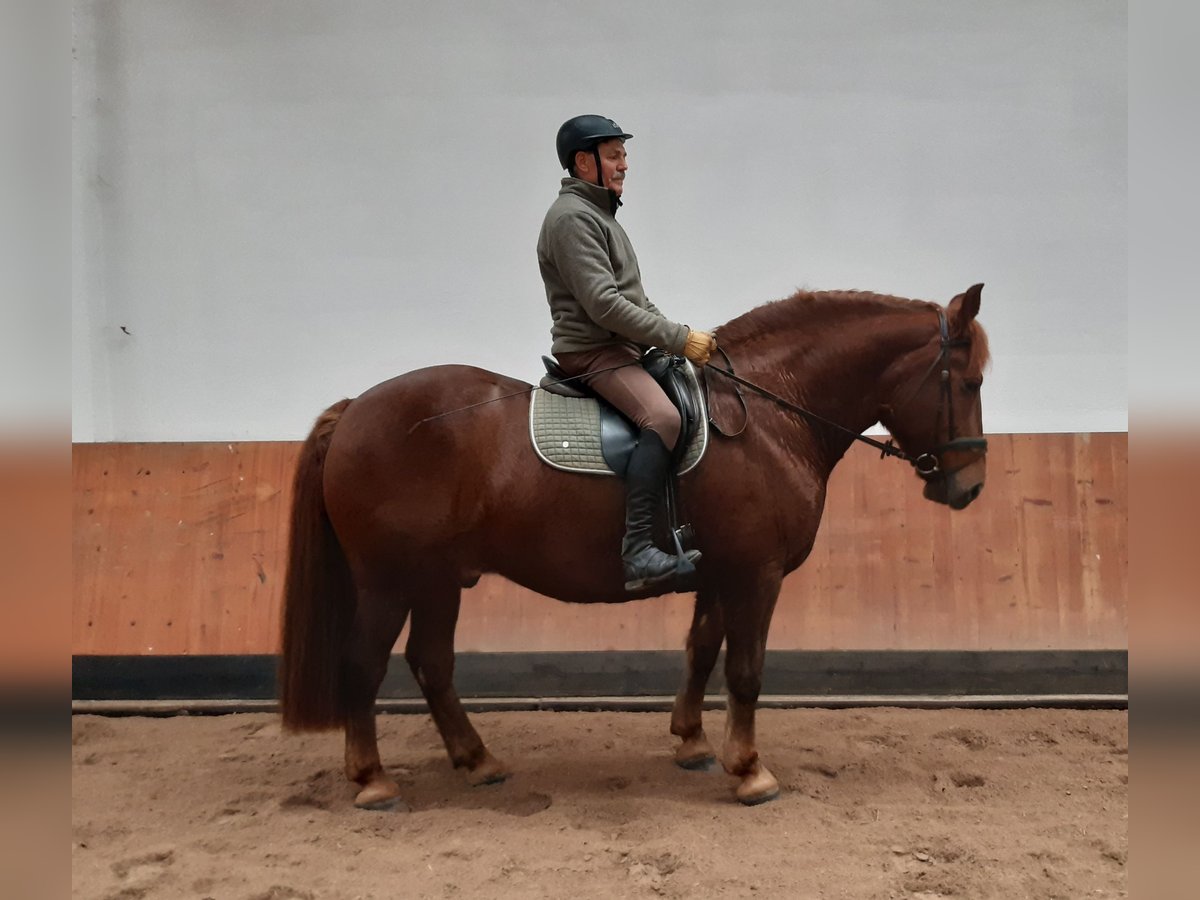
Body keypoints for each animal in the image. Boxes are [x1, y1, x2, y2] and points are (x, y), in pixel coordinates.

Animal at [276, 283, 988, 811]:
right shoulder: (756, 574)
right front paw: (750, 771)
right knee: (364, 665)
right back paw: (374, 782)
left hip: (437, 580)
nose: (971, 487)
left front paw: (693, 745)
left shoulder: (720, 574)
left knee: (431, 664)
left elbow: (701, 651)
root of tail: (356, 409)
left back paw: (478, 762)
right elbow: (746, 671)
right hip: (387, 581)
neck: (769, 416)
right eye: (970, 382)